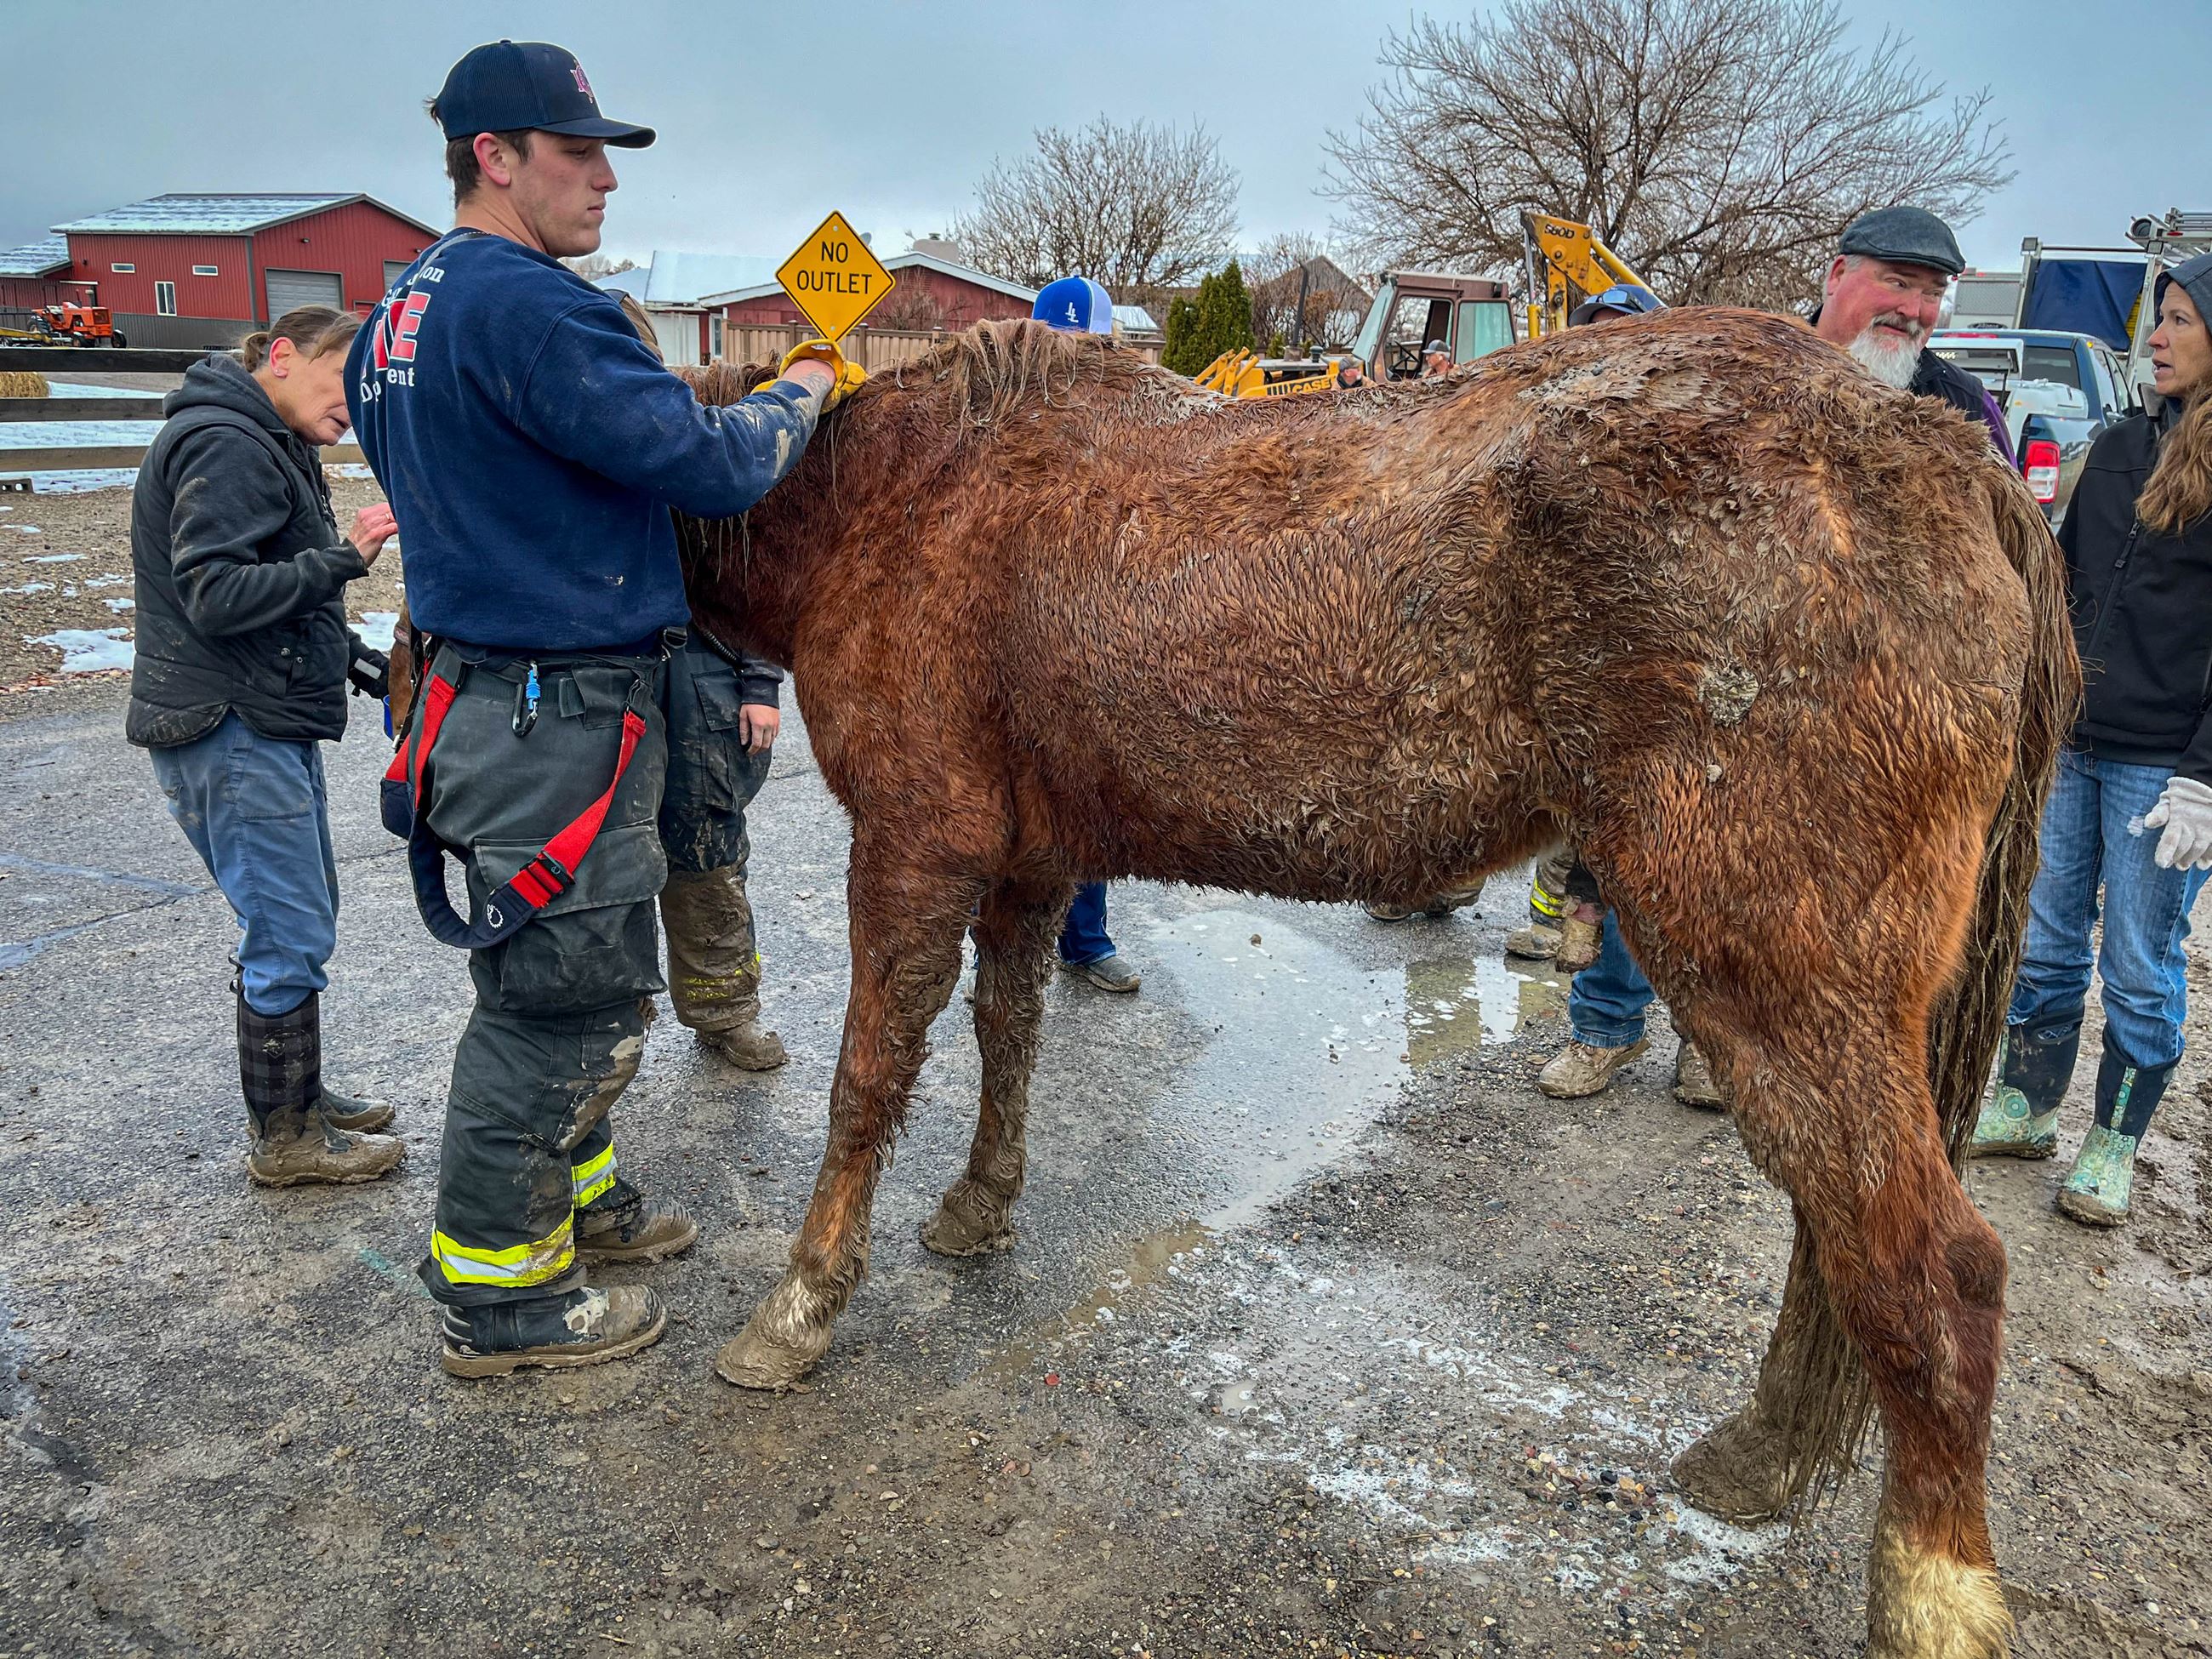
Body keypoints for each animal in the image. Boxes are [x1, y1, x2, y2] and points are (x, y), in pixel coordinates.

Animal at [549, 307, 2065, 1657]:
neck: (898, 495)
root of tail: (1945, 454)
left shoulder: (916, 845)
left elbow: (868, 1078)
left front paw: (801, 1305)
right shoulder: (1030, 863)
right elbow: (1008, 1033)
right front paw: (980, 1204)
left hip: (1772, 975)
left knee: (1931, 1274)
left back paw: (1931, 1595)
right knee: (1841, 1241)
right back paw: (1761, 1455)